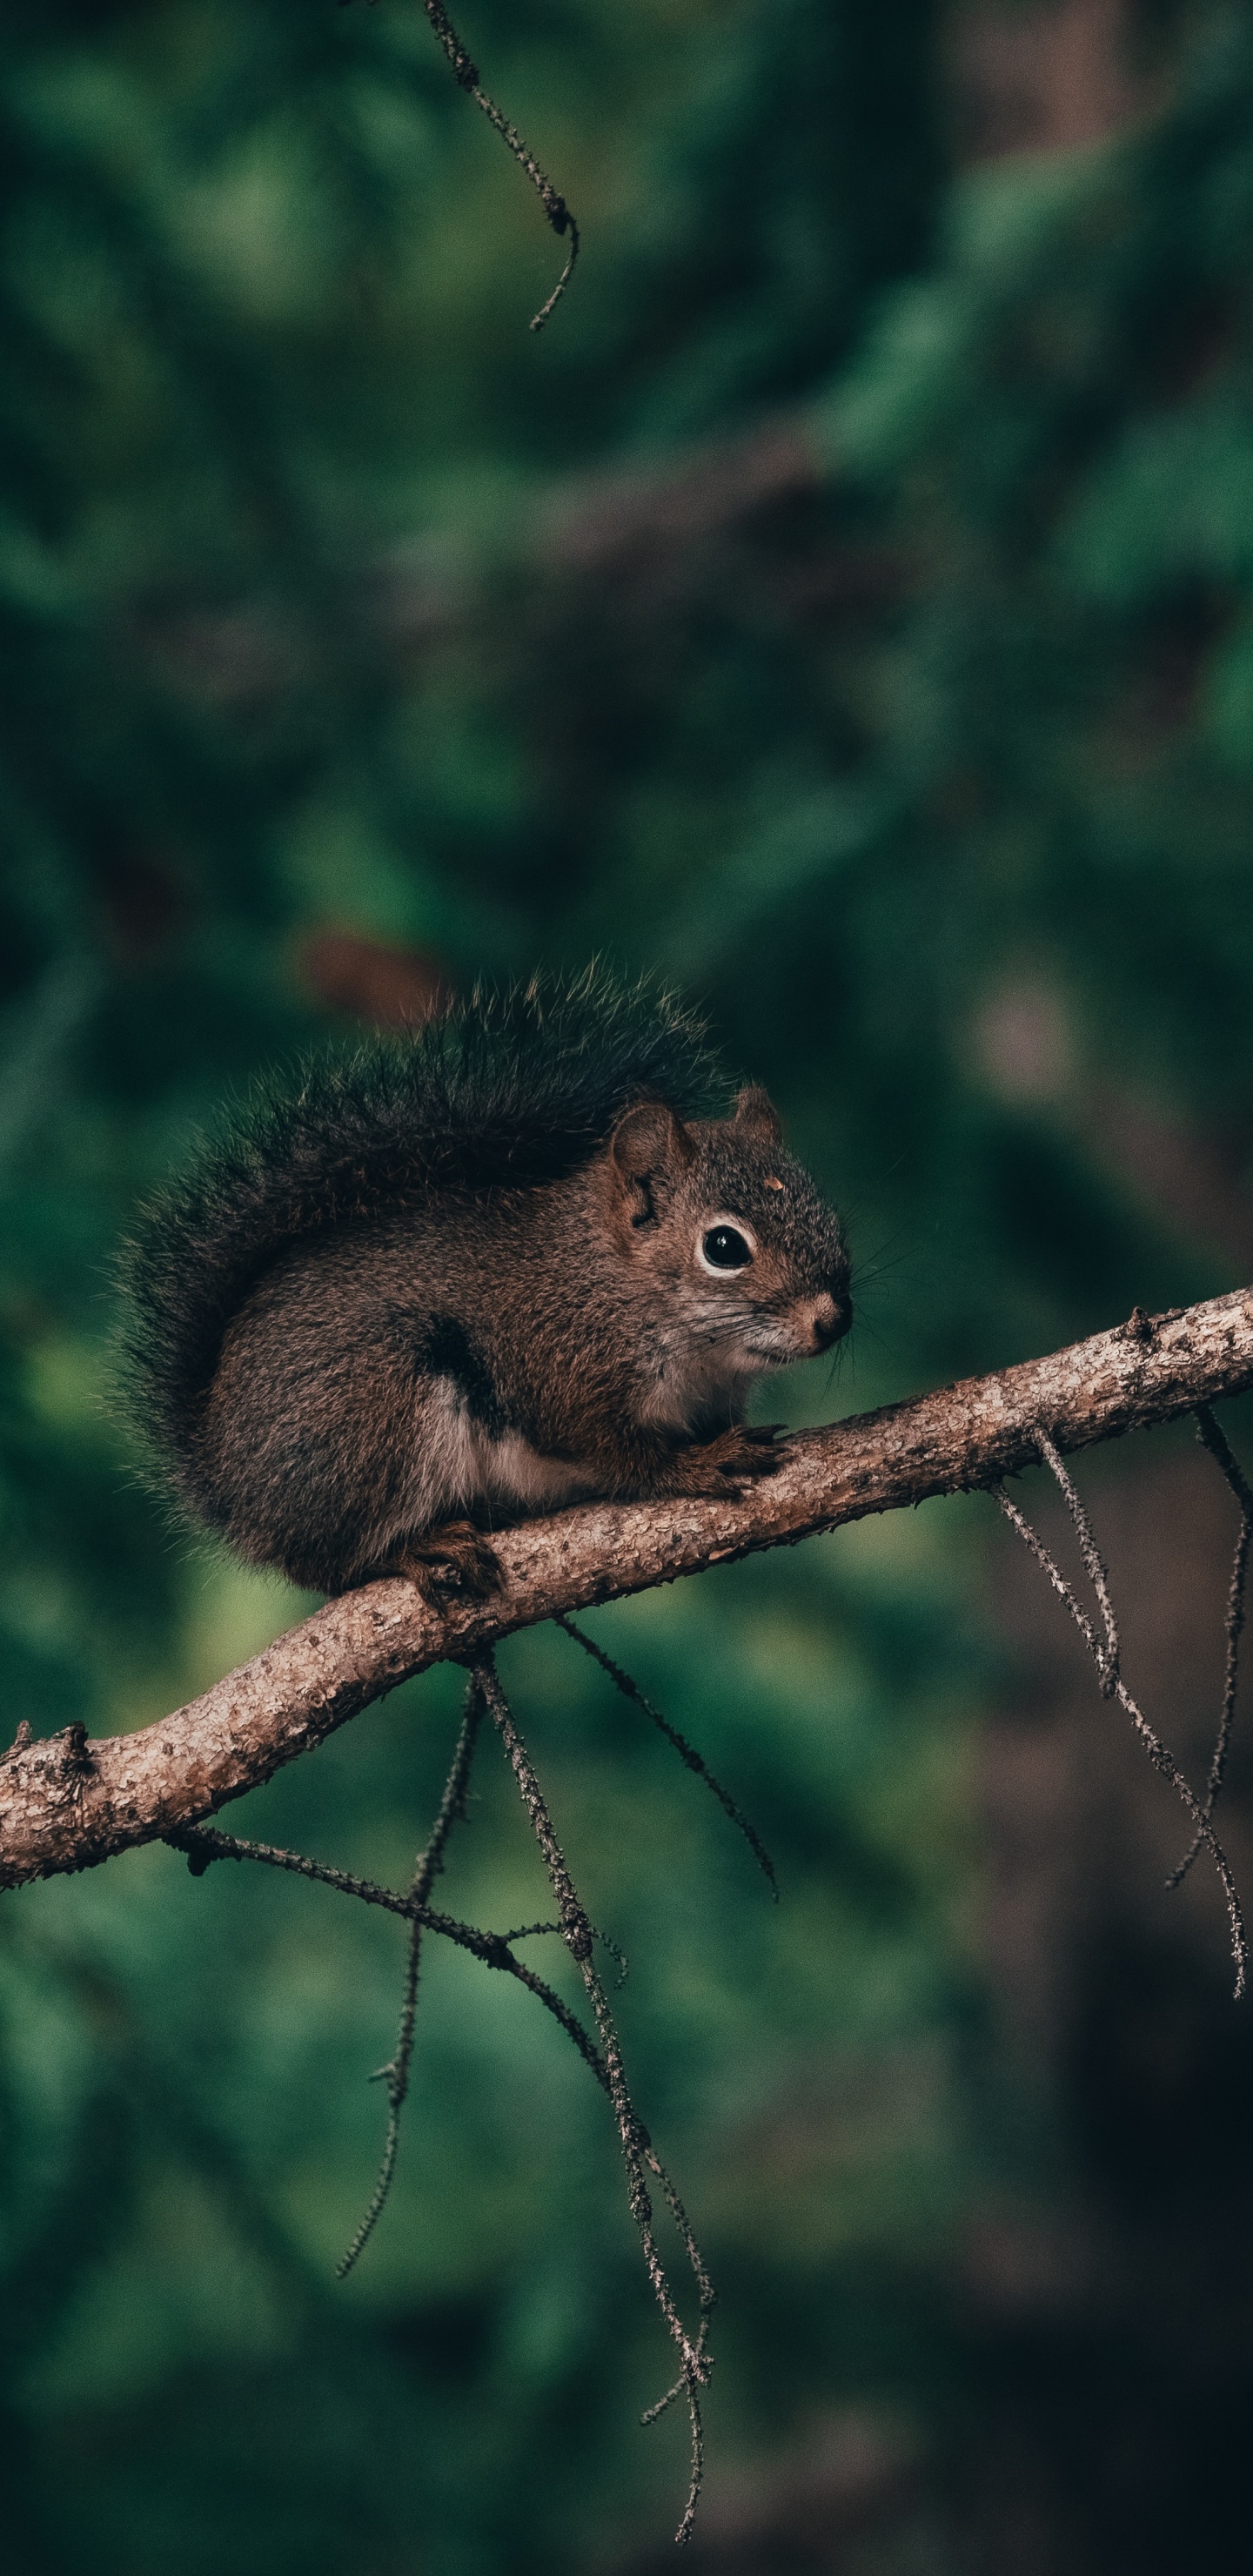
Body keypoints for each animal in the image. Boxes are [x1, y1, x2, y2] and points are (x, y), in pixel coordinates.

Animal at [122, 973, 850, 1597]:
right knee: (332, 1566)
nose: (832, 1320)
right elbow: (618, 1454)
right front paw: (695, 1466)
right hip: (375, 1416)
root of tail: (230, 1488)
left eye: (829, 1212)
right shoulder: (562, 1372)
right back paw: (417, 1548)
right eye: (724, 1247)